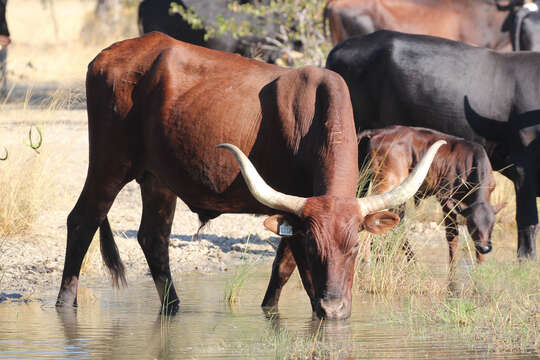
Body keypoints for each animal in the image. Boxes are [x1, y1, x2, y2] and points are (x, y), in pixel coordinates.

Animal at [54, 30, 446, 318]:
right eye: (314, 247)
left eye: (354, 248)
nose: (335, 308)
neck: (312, 118)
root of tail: (108, 54)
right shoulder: (293, 215)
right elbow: (296, 272)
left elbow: (281, 270)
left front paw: (272, 311)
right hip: (109, 162)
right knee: (83, 220)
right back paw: (64, 304)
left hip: (157, 180)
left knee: (153, 239)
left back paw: (173, 308)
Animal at [360, 125, 504, 268]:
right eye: (472, 225)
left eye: (492, 225)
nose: (485, 248)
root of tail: (377, 132)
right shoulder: (445, 199)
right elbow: (452, 237)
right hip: (387, 184)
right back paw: (368, 262)